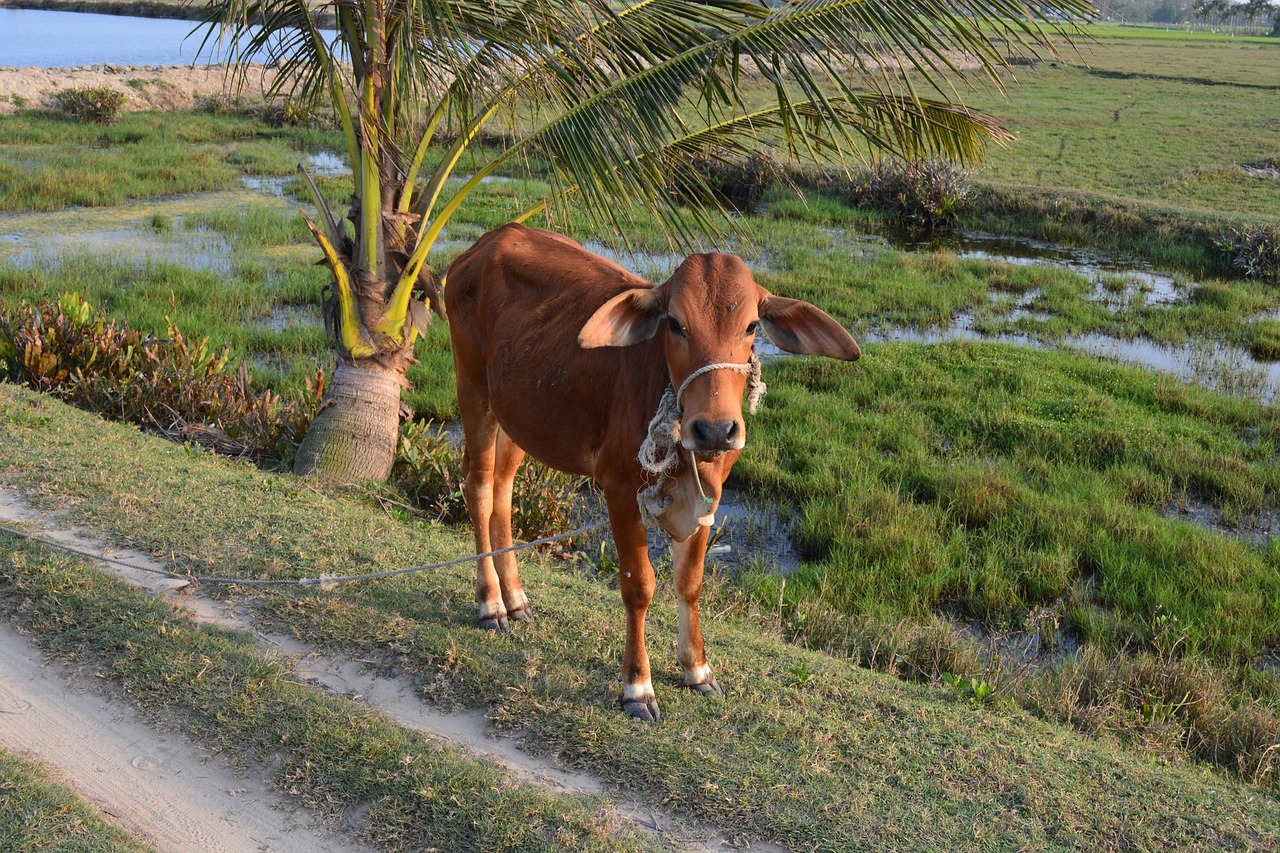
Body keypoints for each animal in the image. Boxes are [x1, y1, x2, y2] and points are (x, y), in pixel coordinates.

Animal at [445, 224, 855, 717]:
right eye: (674, 323)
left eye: (752, 326)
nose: (715, 430)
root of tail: (487, 242)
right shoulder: (620, 490)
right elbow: (639, 585)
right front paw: (638, 687)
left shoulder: (707, 498)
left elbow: (689, 583)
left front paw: (698, 670)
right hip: (474, 391)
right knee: (479, 487)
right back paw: (490, 604)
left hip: (519, 417)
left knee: (503, 490)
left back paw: (516, 598)